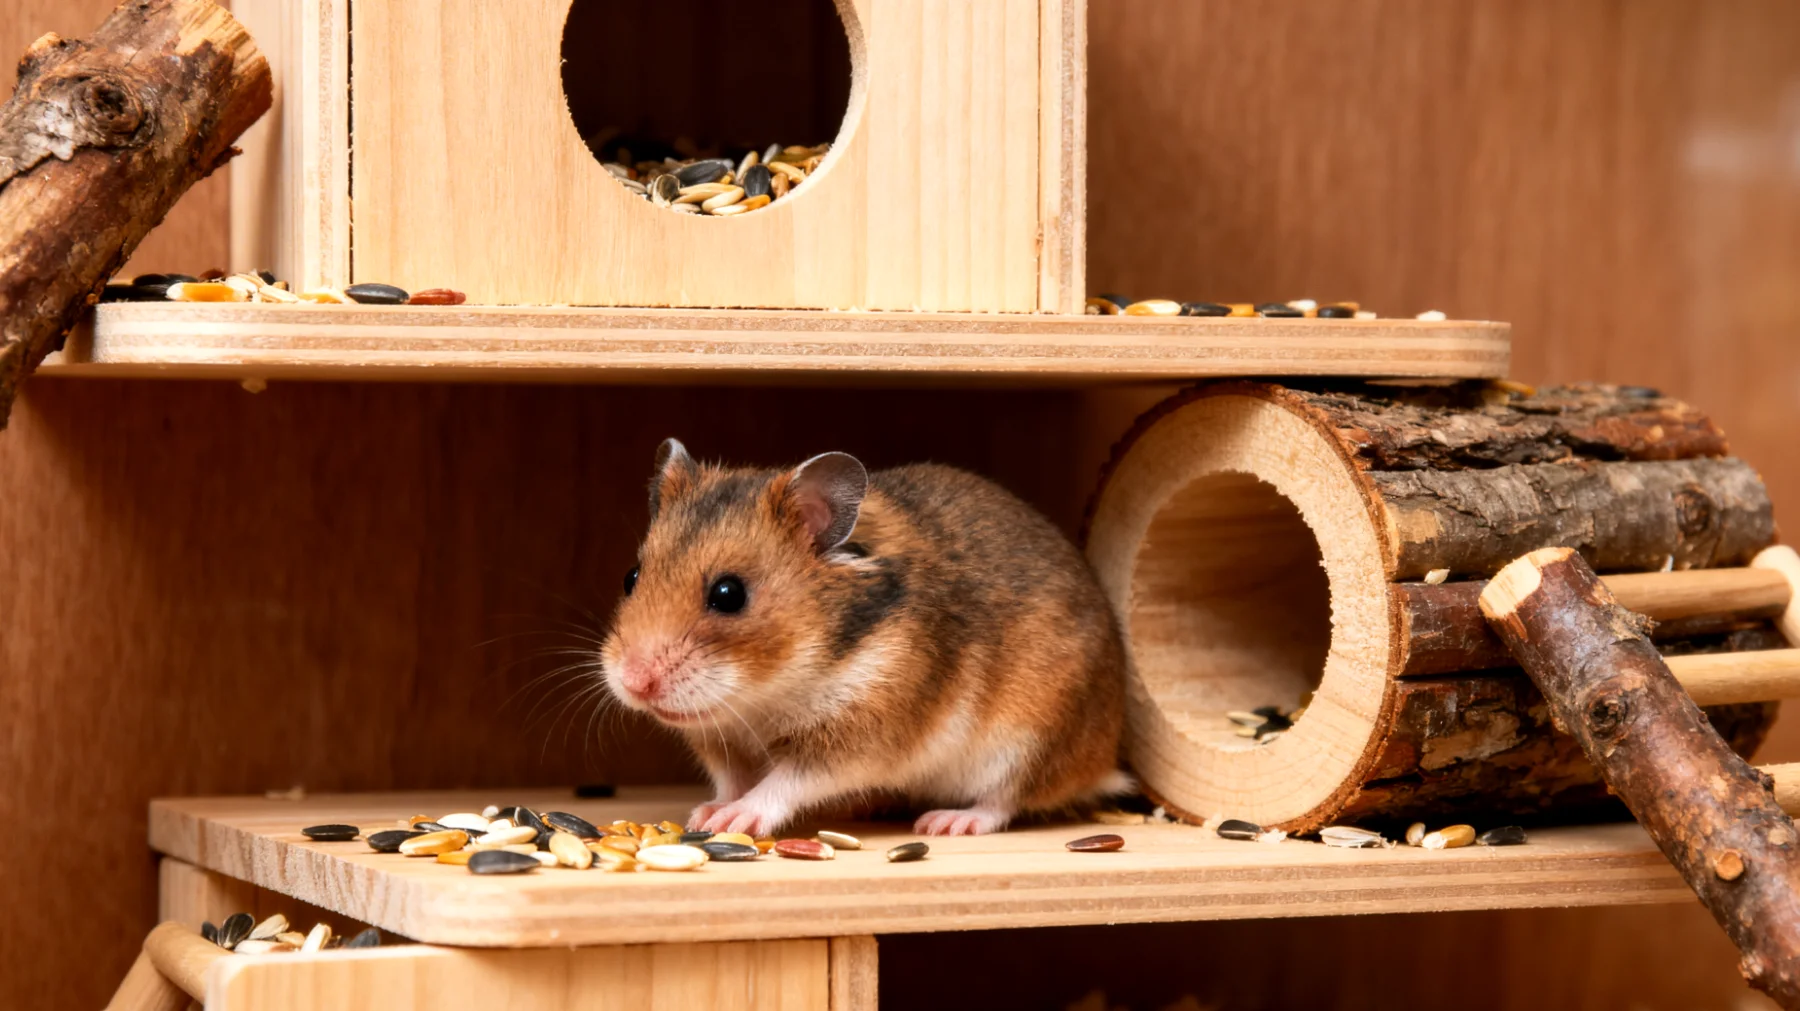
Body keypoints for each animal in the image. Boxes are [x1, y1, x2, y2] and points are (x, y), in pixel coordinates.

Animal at [599, 439, 1129, 837]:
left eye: (729, 594)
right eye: (630, 577)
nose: (635, 683)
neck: (771, 689)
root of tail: (1102, 759)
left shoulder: (858, 734)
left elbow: (785, 782)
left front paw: (735, 820)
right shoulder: (721, 740)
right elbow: (731, 780)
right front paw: (705, 815)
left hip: (1031, 741)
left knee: (1005, 800)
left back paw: (946, 823)